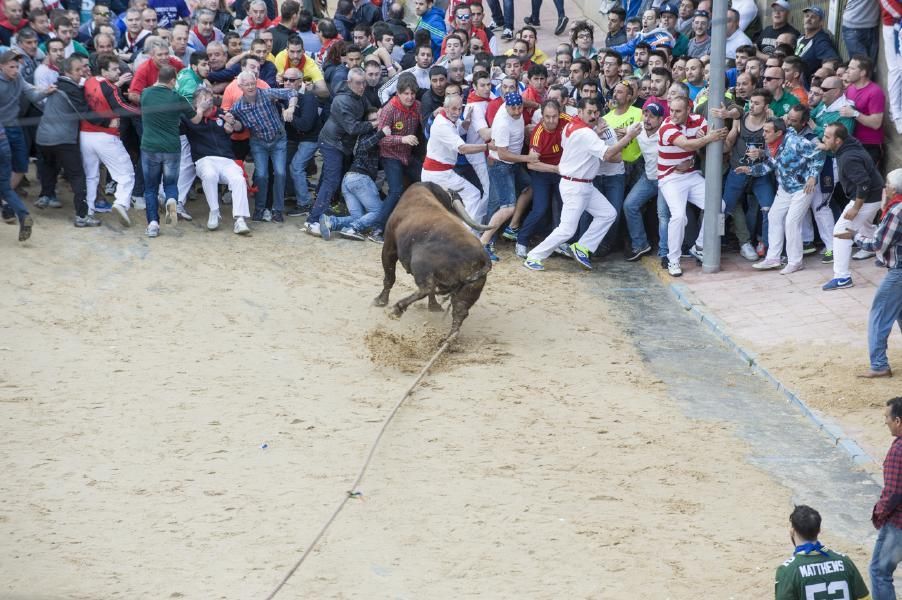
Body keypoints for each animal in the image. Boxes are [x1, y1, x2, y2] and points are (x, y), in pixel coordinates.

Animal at [374, 180, 494, 340]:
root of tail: (484, 257)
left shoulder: (389, 247)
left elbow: (389, 277)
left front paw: (381, 300)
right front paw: (434, 306)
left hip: (419, 264)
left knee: (426, 288)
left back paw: (398, 308)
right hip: (471, 288)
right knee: (459, 310)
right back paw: (448, 340)